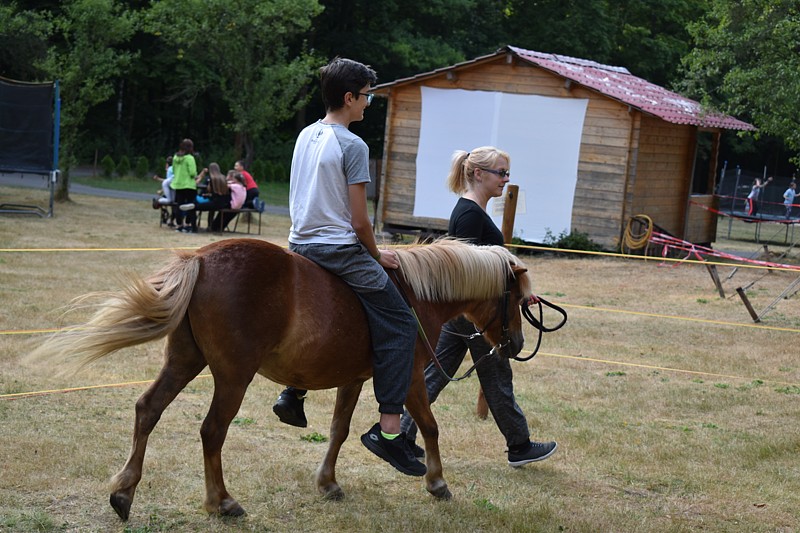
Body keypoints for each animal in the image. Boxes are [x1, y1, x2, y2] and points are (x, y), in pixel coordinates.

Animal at [31, 237, 532, 520]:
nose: (515, 346)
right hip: (233, 375)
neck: (414, 291)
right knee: (212, 431)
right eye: (519, 300)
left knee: (147, 409)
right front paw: (436, 481)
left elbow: (339, 430)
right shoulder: (407, 377)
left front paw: (328, 483)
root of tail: (201, 257)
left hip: (185, 360)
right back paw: (222, 502)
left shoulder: (353, 378)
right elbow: (429, 425)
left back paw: (124, 493)